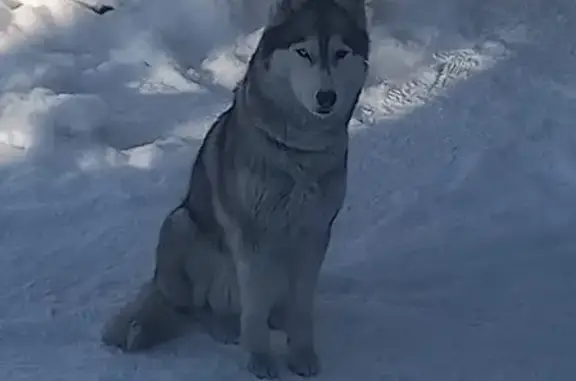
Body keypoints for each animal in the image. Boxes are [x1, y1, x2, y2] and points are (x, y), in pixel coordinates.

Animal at [101, 0, 368, 376]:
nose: (326, 97)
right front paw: (260, 359)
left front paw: (301, 354)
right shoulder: (252, 238)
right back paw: (225, 327)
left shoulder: (315, 234)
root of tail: (159, 285)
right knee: (198, 310)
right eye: (304, 52)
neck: (299, 152)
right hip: (181, 225)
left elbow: (302, 308)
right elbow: (253, 310)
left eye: (341, 53)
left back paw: (276, 318)